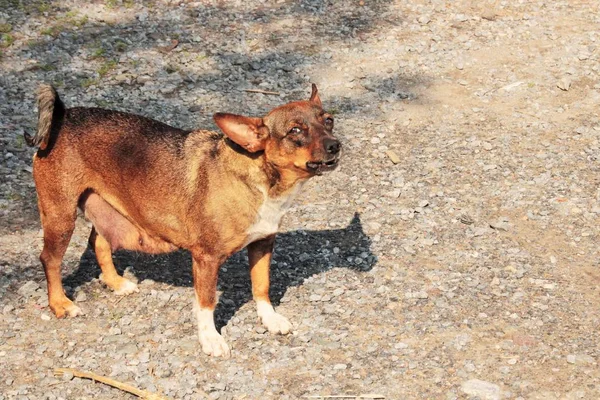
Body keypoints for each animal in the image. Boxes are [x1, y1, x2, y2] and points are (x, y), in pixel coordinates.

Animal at [25, 84, 340, 356]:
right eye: (295, 130)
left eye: (329, 121)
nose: (335, 145)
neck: (260, 178)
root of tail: (63, 116)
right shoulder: (206, 259)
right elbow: (206, 303)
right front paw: (211, 339)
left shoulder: (263, 245)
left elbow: (261, 286)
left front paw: (270, 319)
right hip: (61, 216)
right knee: (50, 259)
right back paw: (60, 304)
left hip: (104, 209)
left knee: (98, 242)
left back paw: (116, 282)